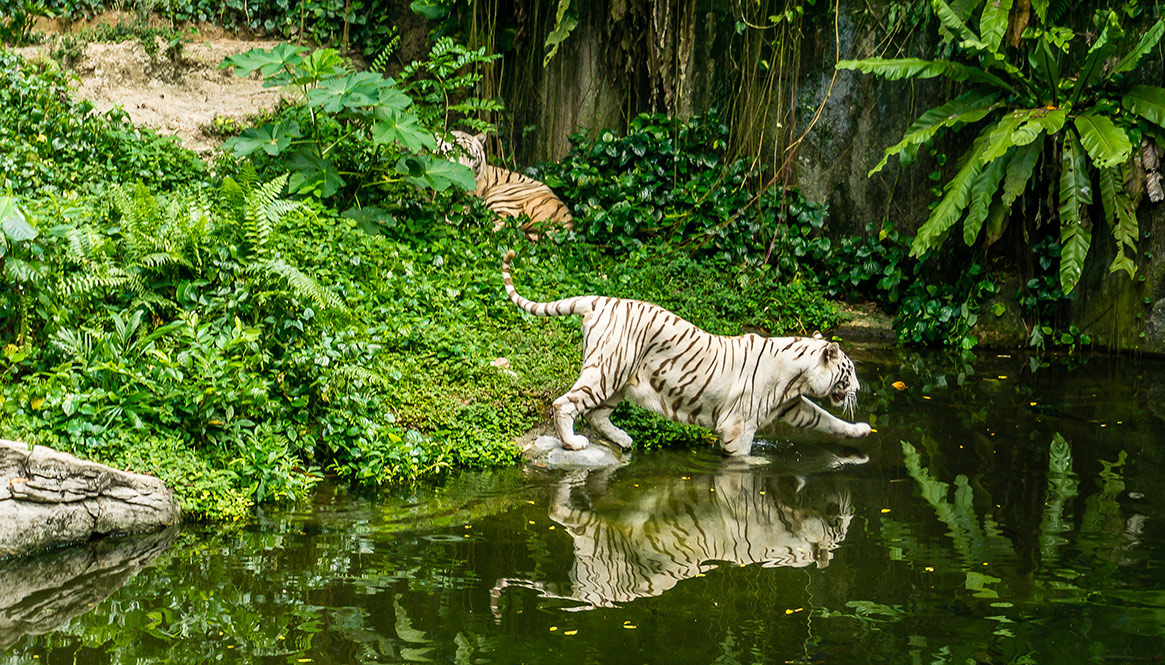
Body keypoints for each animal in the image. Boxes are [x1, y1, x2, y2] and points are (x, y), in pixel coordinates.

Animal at [503, 251, 876, 458]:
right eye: (850, 372)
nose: (859, 389)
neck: (798, 378)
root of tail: (599, 300)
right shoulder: (738, 427)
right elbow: (742, 459)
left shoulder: (793, 406)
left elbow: (826, 419)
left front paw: (860, 430)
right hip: (606, 372)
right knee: (565, 403)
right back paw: (573, 444)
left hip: (619, 378)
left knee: (597, 414)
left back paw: (624, 440)